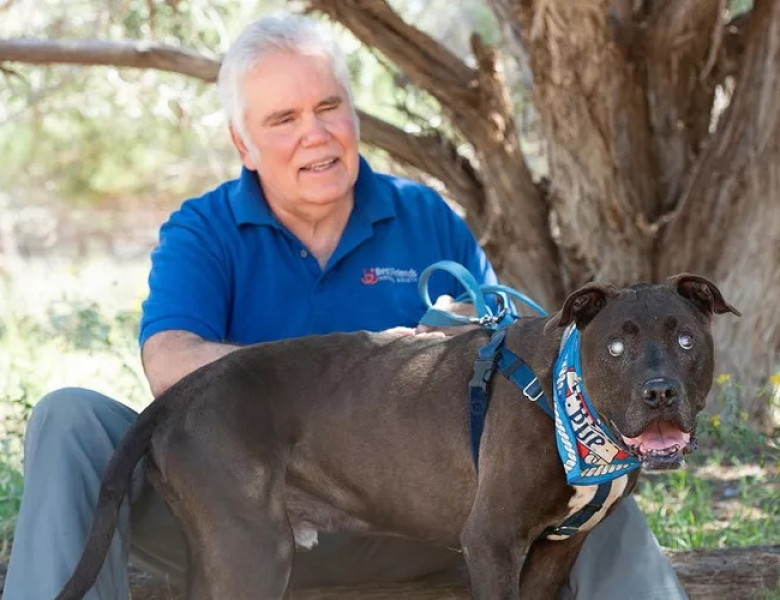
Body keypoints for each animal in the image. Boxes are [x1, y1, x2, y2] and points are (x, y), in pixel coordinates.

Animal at [58, 274, 740, 596]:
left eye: (685, 339)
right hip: (249, 550)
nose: (659, 393)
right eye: (617, 347)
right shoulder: (491, 542)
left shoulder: (554, 552)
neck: (564, 403)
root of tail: (180, 393)